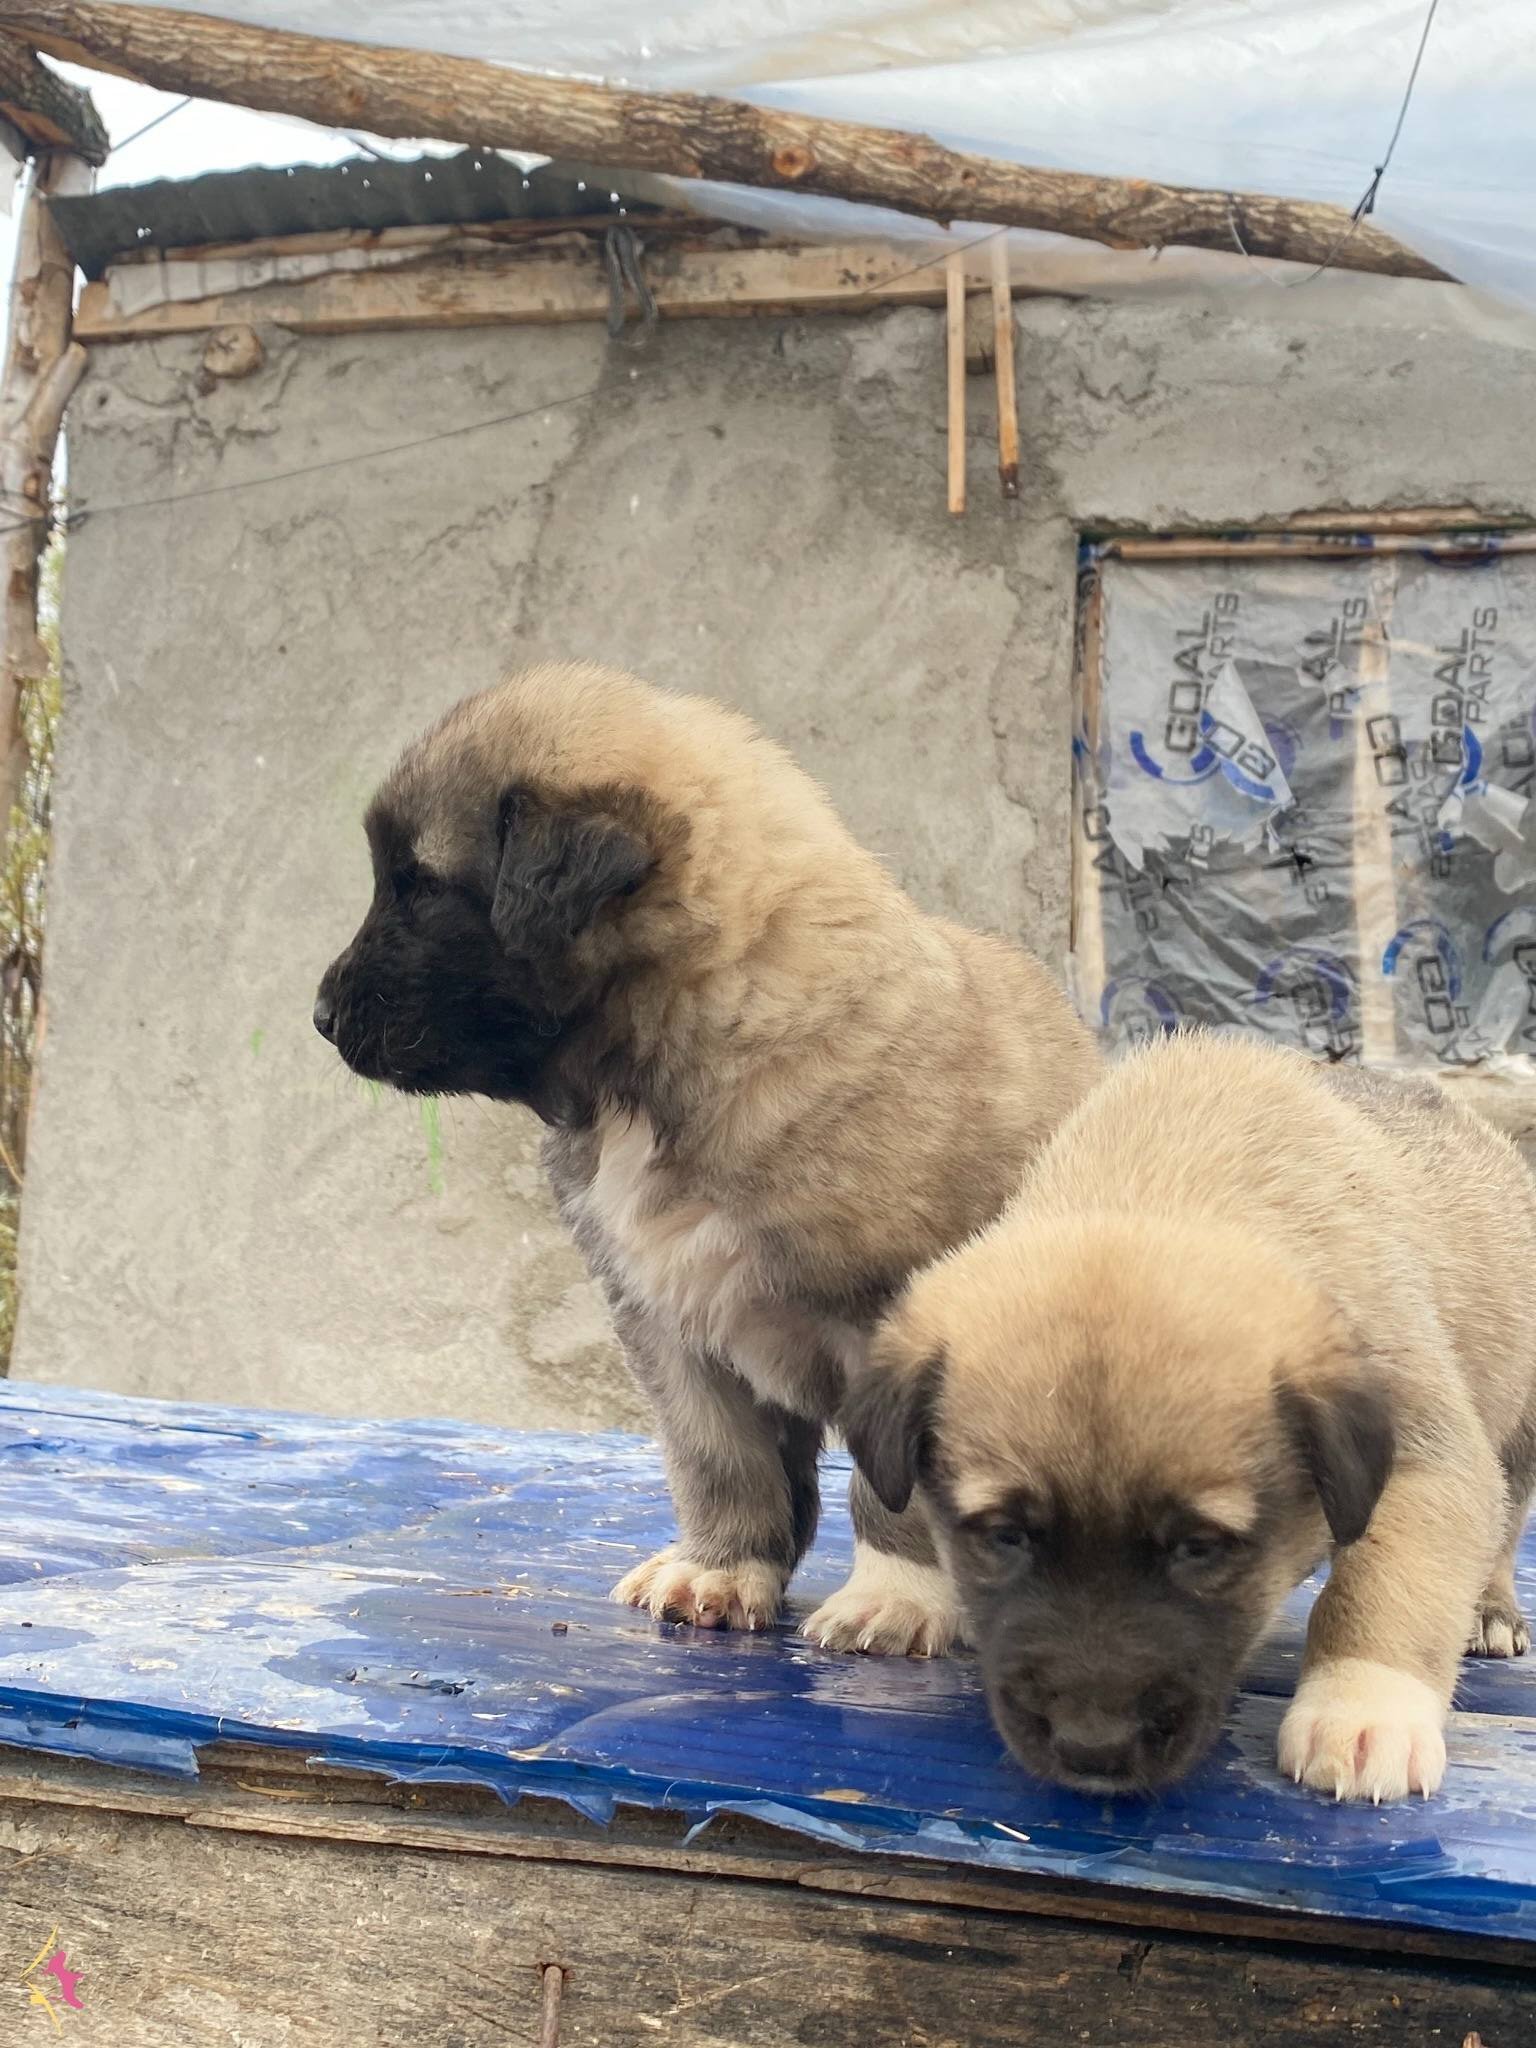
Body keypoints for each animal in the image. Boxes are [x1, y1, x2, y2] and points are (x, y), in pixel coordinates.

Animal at [315, 660, 1100, 1651]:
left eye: (418, 886)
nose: (320, 1016)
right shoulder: (667, 1318)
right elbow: (718, 1457)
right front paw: (722, 1569)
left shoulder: (900, 1326)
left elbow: (895, 1495)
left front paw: (900, 1596)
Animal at [845, 1032, 1536, 1801]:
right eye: (1005, 1536)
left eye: (1200, 1547)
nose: (1094, 1749)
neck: (1160, 1189)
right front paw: (896, 1590)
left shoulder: (1426, 1456)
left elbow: (1385, 1585)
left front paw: (1362, 1711)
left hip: (1521, 1433)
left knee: (1505, 1523)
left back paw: (1489, 1610)